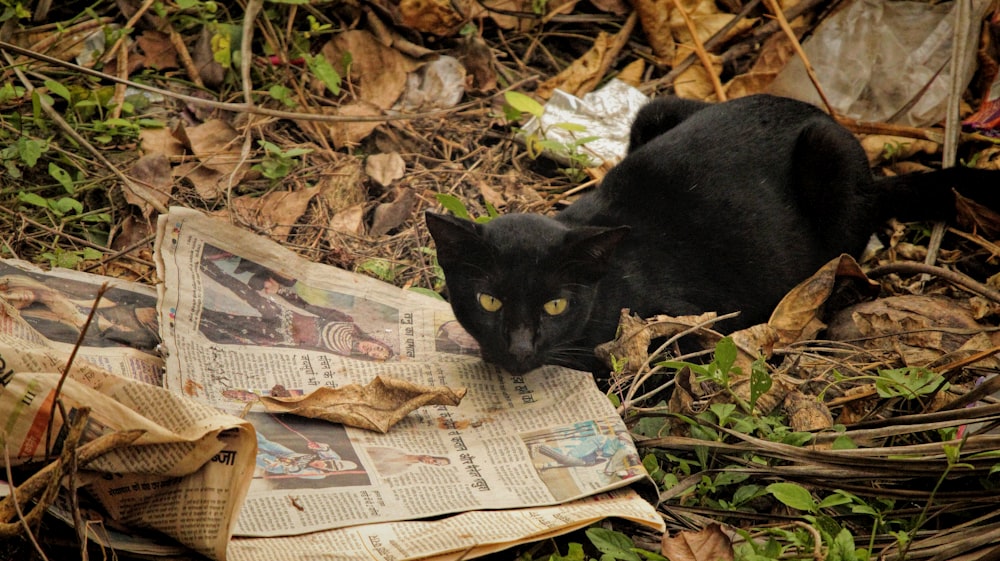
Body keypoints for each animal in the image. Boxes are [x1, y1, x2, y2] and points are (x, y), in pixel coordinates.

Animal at [424, 94, 1000, 374]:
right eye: (490, 301)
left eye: (555, 306)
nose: (519, 350)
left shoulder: (681, 330)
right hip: (656, 108)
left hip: (830, 158)